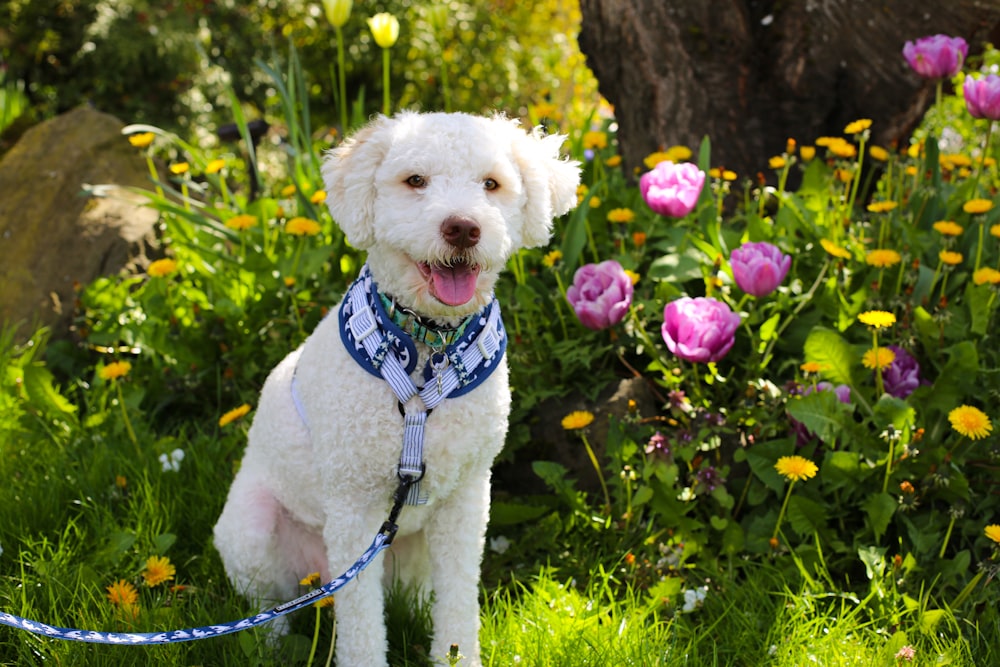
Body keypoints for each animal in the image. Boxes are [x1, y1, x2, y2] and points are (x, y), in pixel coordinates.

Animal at [215, 112, 584, 664]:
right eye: (415, 181)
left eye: (491, 184)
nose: (462, 228)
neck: (430, 348)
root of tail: (313, 577)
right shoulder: (353, 507)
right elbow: (362, 628)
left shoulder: (465, 500)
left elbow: (458, 605)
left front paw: (456, 655)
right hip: (251, 530)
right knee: (268, 611)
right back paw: (271, 646)